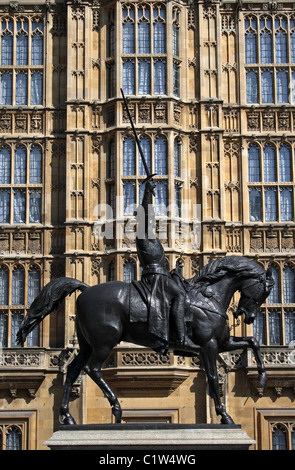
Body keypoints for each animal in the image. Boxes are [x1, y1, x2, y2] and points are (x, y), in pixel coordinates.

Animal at [16, 255, 276, 428]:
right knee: (93, 369)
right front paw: (225, 416)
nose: (247, 315)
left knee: (72, 371)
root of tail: (86, 289)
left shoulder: (221, 343)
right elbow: (212, 378)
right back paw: (116, 408)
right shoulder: (208, 346)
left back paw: (68, 417)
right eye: (265, 290)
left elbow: (253, 342)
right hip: (105, 341)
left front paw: (263, 379)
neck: (207, 296)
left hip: (88, 344)